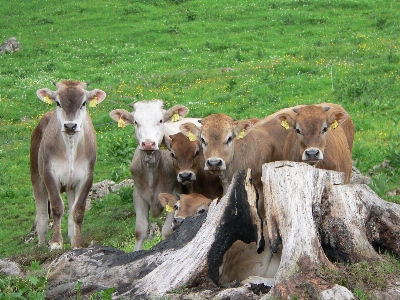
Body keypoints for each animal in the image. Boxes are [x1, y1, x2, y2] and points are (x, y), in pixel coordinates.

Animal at [30, 79, 106, 248]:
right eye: (58, 102)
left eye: (83, 103)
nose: (70, 126)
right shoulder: (49, 173)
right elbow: (57, 207)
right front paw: (56, 243)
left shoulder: (86, 177)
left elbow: (78, 211)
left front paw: (77, 244)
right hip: (36, 175)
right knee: (41, 213)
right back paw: (41, 244)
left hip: (71, 184)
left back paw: (72, 236)